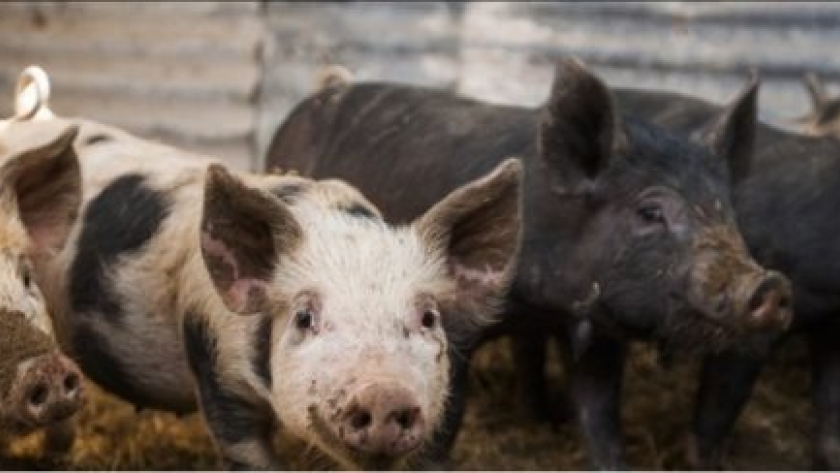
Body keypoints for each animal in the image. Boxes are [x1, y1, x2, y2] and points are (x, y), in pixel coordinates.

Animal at [263, 57, 794, 469]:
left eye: (726, 207)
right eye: (651, 212)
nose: (770, 286)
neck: (549, 302)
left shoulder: (598, 334)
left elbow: (601, 418)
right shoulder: (453, 327)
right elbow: (443, 425)